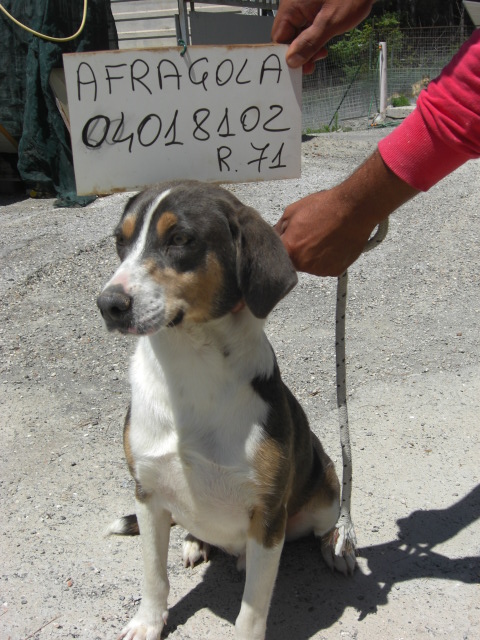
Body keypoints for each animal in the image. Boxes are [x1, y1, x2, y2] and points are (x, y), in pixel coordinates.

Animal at [97, 181, 355, 640]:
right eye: (120, 241)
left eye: (180, 239)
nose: (108, 304)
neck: (191, 368)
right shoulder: (147, 491)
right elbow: (153, 575)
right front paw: (148, 622)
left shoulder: (268, 514)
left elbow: (252, 609)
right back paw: (196, 541)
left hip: (326, 485)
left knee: (328, 521)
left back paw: (336, 547)